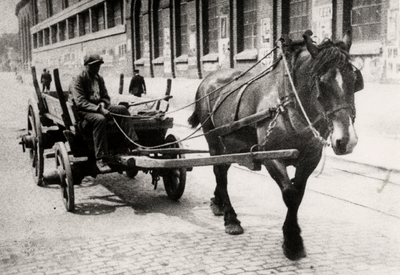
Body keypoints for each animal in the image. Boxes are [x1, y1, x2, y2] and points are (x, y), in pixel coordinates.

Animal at [188, 31, 362, 262]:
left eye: (354, 80)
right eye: (322, 82)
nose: (346, 140)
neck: (287, 103)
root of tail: (207, 79)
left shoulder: (310, 158)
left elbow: (298, 194)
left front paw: (294, 239)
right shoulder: (271, 156)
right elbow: (290, 194)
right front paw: (292, 242)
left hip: (229, 144)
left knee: (222, 169)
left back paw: (218, 203)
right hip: (214, 140)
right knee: (220, 173)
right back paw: (231, 218)